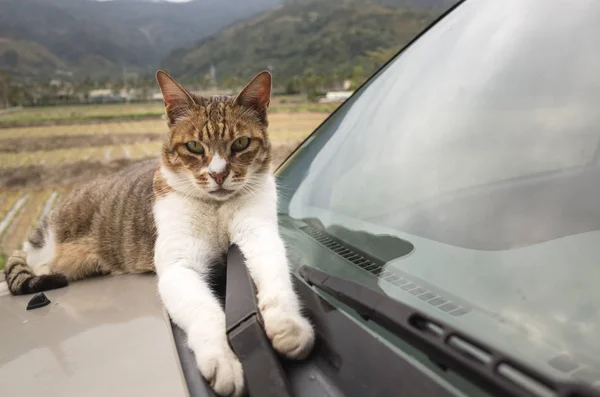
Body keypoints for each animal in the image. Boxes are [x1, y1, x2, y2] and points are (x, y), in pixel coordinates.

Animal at [3, 71, 314, 396]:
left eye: (241, 143)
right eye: (194, 147)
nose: (218, 175)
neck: (216, 208)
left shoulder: (258, 236)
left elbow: (276, 279)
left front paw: (288, 324)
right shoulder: (178, 266)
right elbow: (204, 309)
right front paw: (222, 359)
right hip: (48, 241)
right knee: (31, 259)